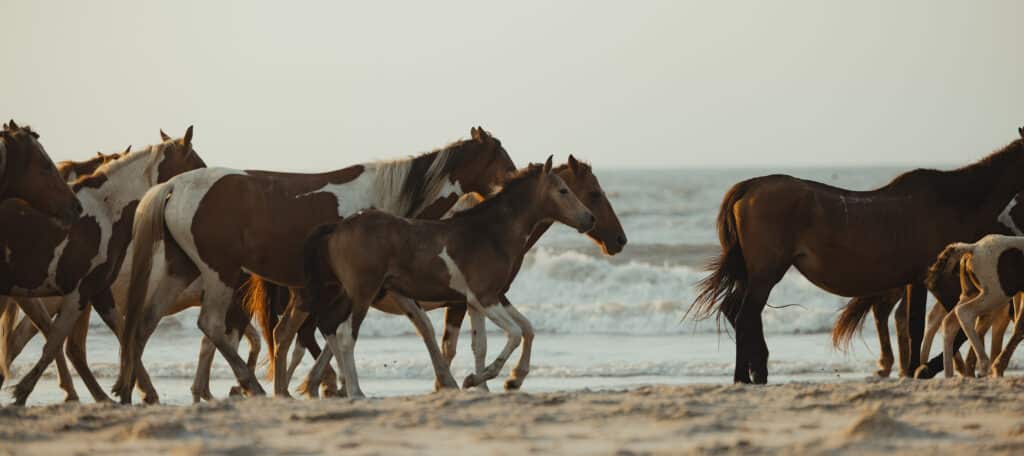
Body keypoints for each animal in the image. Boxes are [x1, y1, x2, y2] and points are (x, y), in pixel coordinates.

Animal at [114, 127, 516, 404]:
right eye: (503, 159)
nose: (517, 180)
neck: (386, 201)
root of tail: (172, 187)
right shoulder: (367, 287)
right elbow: (339, 333)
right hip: (220, 273)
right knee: (210, 325)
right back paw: (250, 384)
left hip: (181, 269)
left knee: (146, 321)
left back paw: (134, 389)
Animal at [292, 156, 627, 395]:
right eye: (565, 191)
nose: (589, 219)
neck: (489, 232)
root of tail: (338, 227)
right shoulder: (483, 298)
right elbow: (513, 334)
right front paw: (476, 379)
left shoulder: (480, 301)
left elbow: (504, 336)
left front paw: (494, 382)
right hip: (362, 294)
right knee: (344, 335)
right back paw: (355, 391)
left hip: (344, 294)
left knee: (329, 329)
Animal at [926, 235, 1024, 377]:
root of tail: (974, 248)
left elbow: (1019, 326)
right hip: (995, 295)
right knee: (964, 312)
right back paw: (983, 365)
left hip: (970, 294)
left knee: (949, 321)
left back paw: (950, 374)